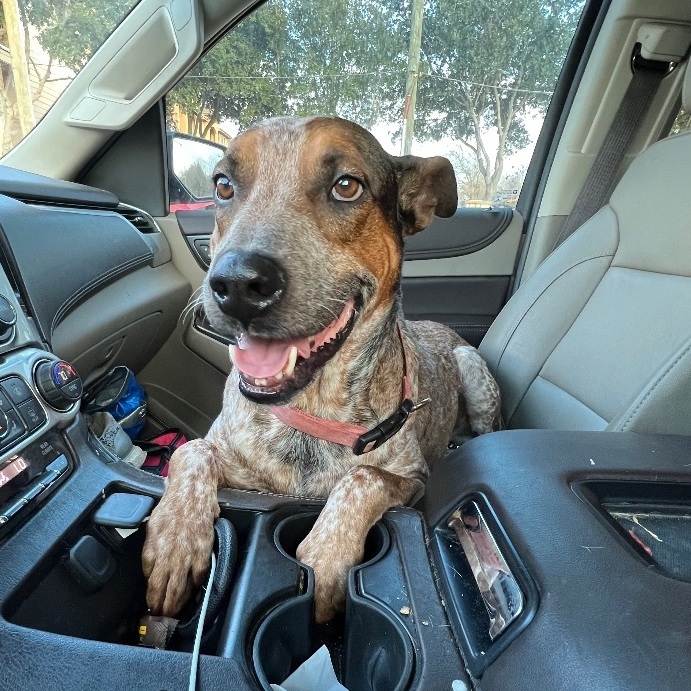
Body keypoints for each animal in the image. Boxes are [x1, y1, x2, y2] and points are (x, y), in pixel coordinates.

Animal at [143, 116, 500, 624]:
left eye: (346, 186)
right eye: (223, 185)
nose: (237, 284)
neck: (312, 410)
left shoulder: (413, 479)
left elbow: (364, 478)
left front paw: (325, 556)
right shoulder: (231, 461)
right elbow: (191, 452)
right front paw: (175, 538)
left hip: (473, 371)